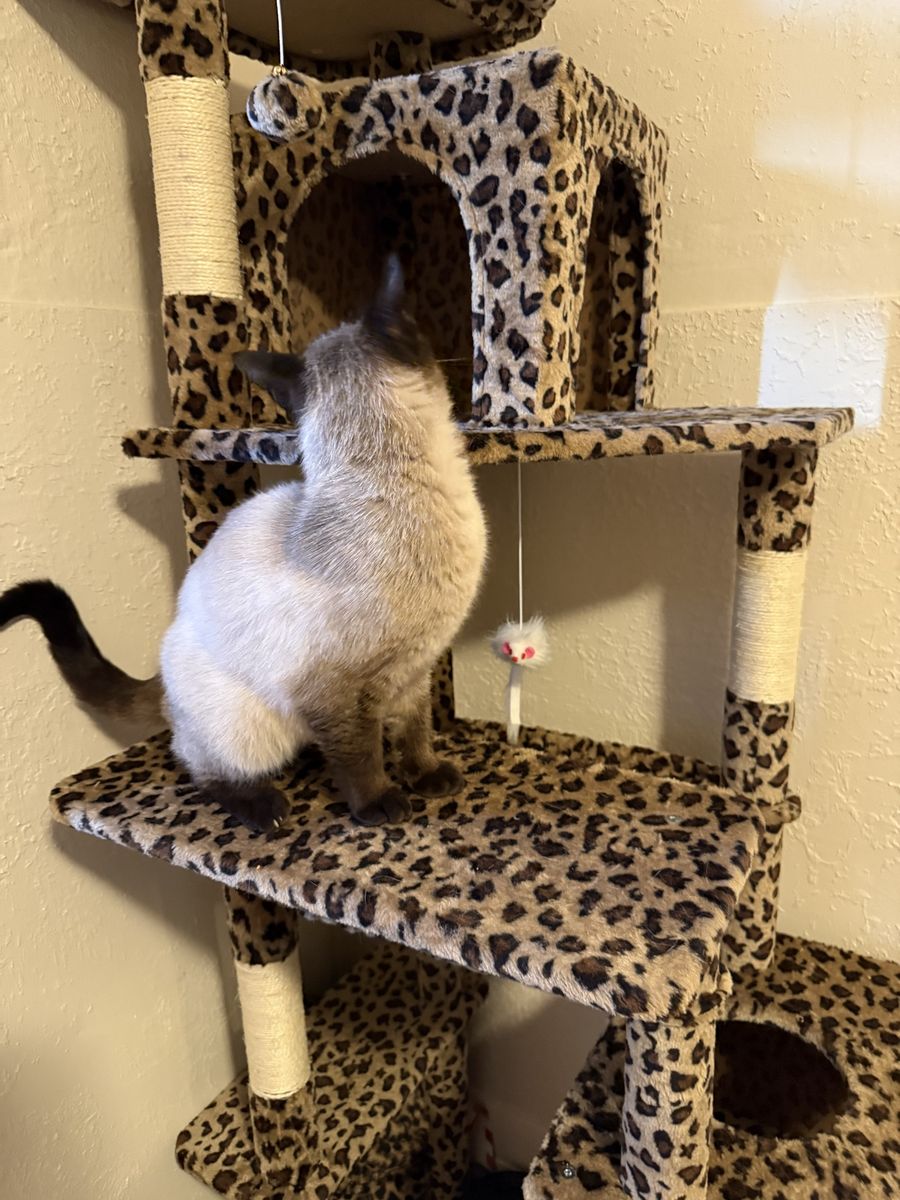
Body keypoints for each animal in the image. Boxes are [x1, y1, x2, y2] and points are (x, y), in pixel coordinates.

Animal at [1, 257, 487, 832]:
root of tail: (164, 667)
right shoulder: (332, 694)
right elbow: (359, 753)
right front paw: (378, 804)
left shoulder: (417, 666)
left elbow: (415, 731)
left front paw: (426, 776)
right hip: (246, 727)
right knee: (198, 766)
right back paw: (263, 806)